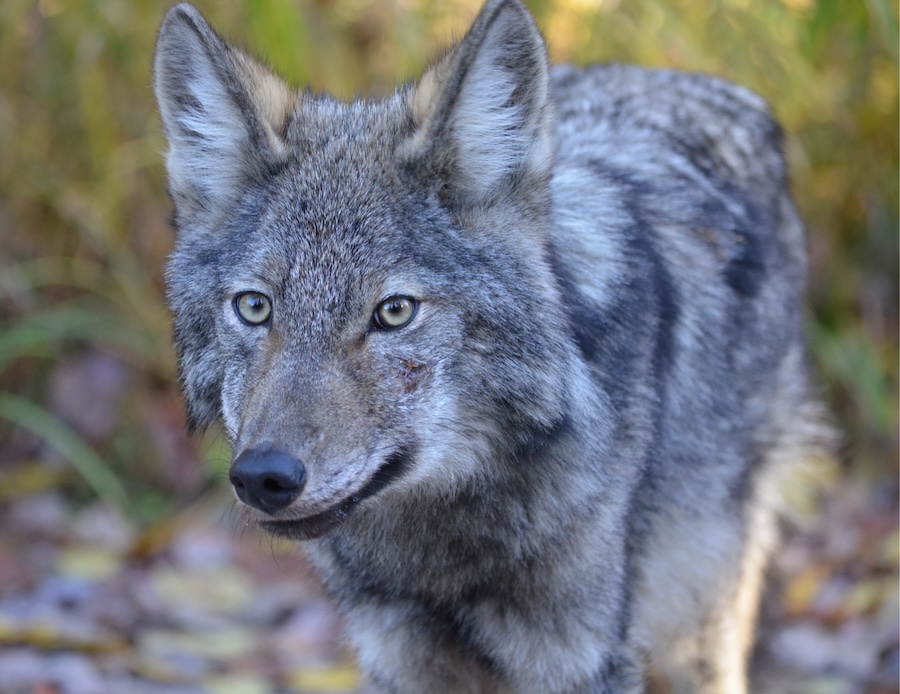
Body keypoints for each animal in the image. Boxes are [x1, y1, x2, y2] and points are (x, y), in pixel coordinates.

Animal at [155, 1, 828, 692]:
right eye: (254, 307)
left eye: (394, 312)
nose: (264, 476)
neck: (441, 553)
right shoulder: (400, 658)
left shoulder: (580, 660)